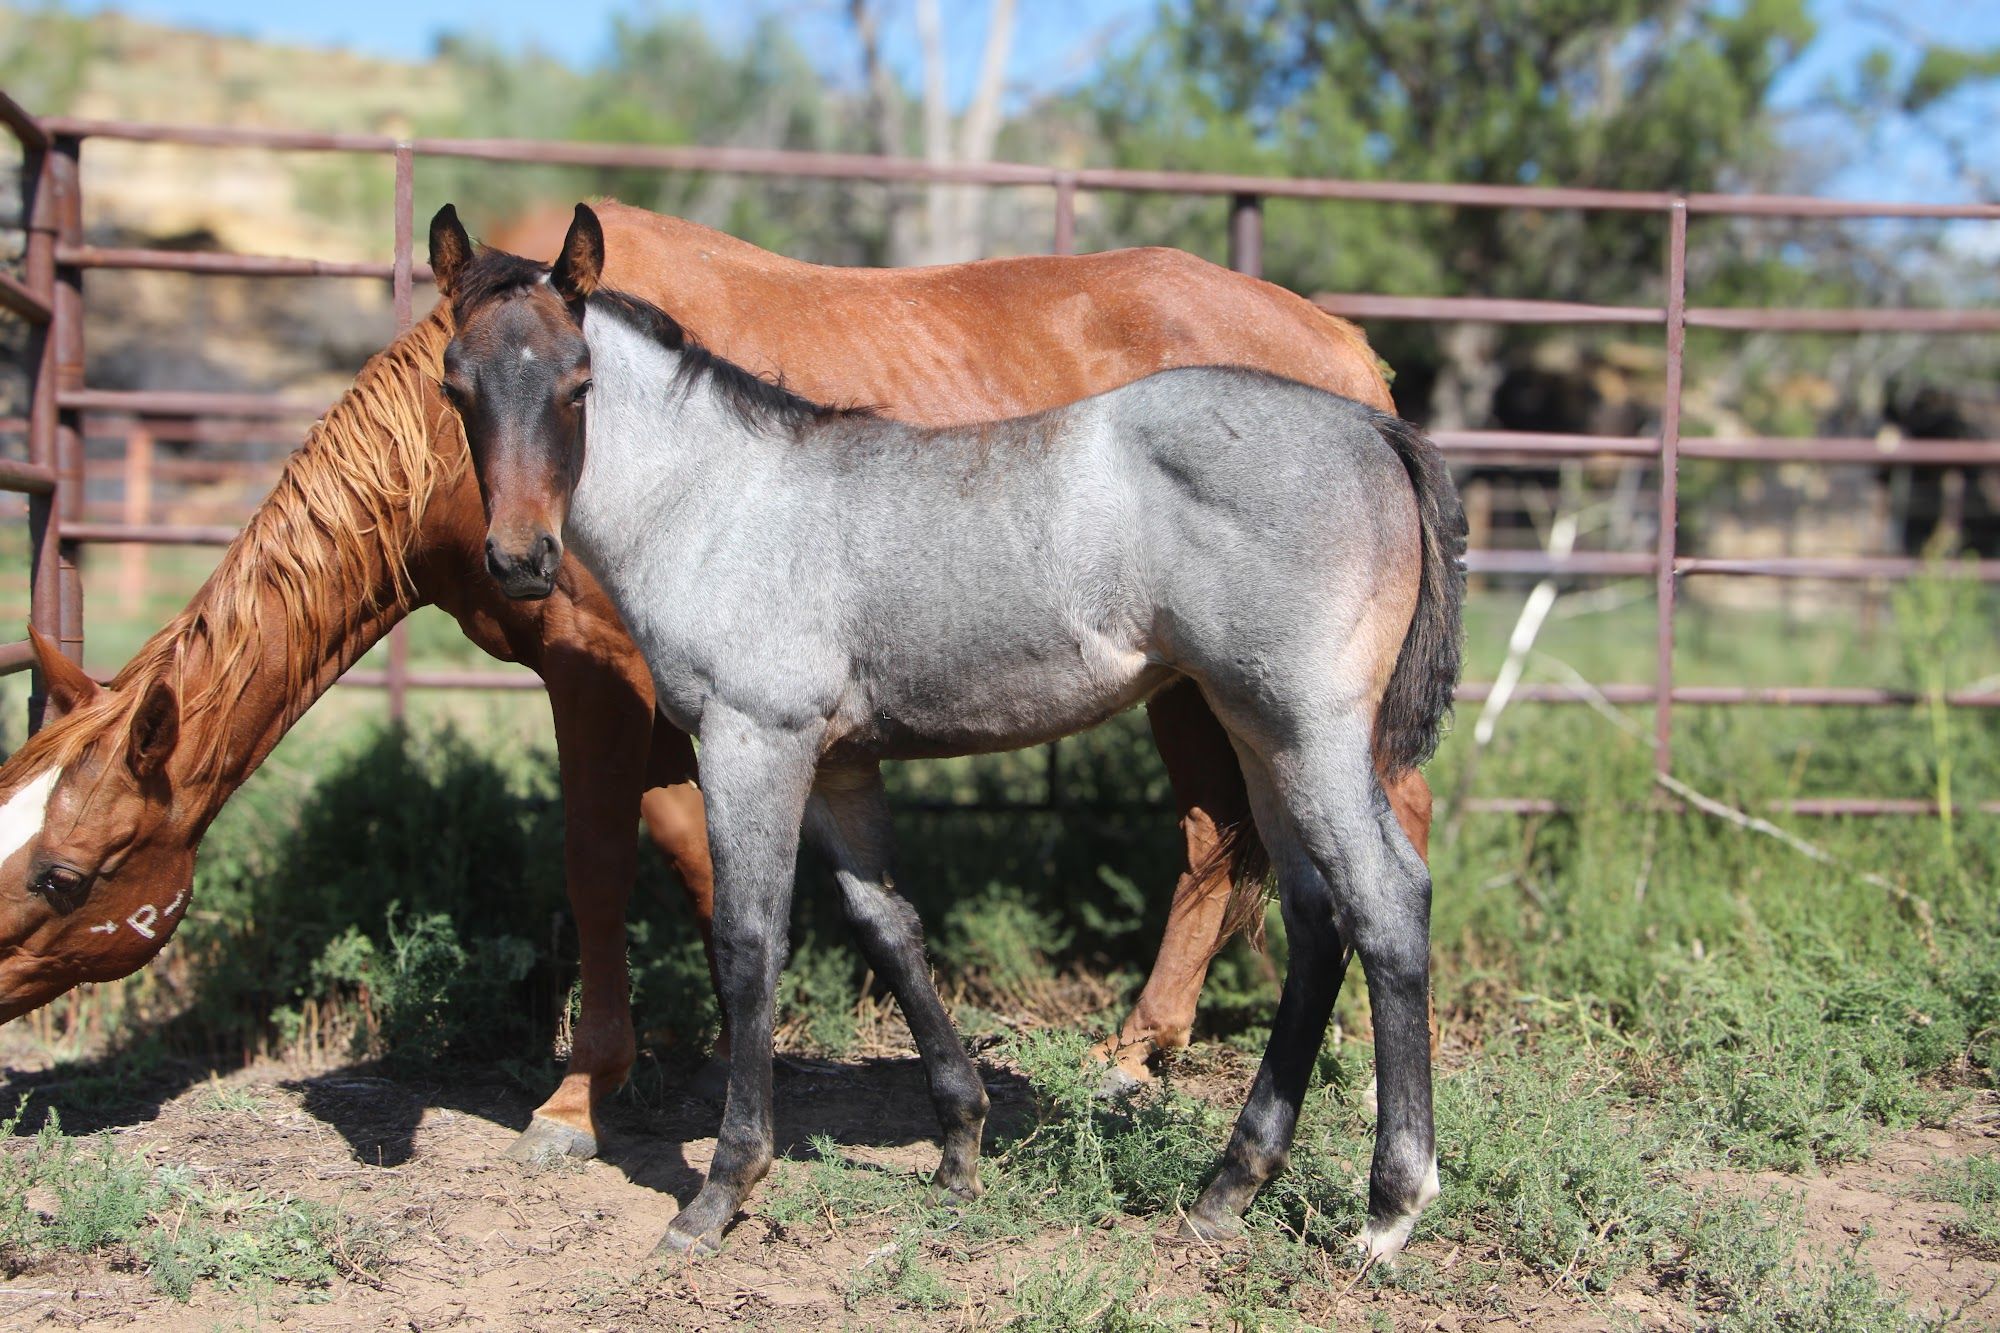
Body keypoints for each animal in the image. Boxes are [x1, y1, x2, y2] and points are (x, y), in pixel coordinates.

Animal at [0, 198, 1427, 1163]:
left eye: (62, 874)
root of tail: (1352, 356)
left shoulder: (596, 678)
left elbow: (595, 862)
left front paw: (580, 1095)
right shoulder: (689, 706)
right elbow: (700, 864)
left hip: (1279, 698)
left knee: (1371, 839)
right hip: (1197, 688)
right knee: (1218, 842)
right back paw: (1140, 1052)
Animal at [439, 203, 1464, 1260]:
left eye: (579, 383)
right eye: (454, 385)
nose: (521, 559)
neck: (721, 501)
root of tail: (1375, 427)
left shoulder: (754, 740)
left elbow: (751, 942)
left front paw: (721, 1189)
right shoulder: (842, 765)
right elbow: (890, 929)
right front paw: (961, 1149)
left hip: (1309, 733)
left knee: (1386, 900)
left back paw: (1389, 1205)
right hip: (1260, 736)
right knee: (1314, 920)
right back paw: (1230, 1187)